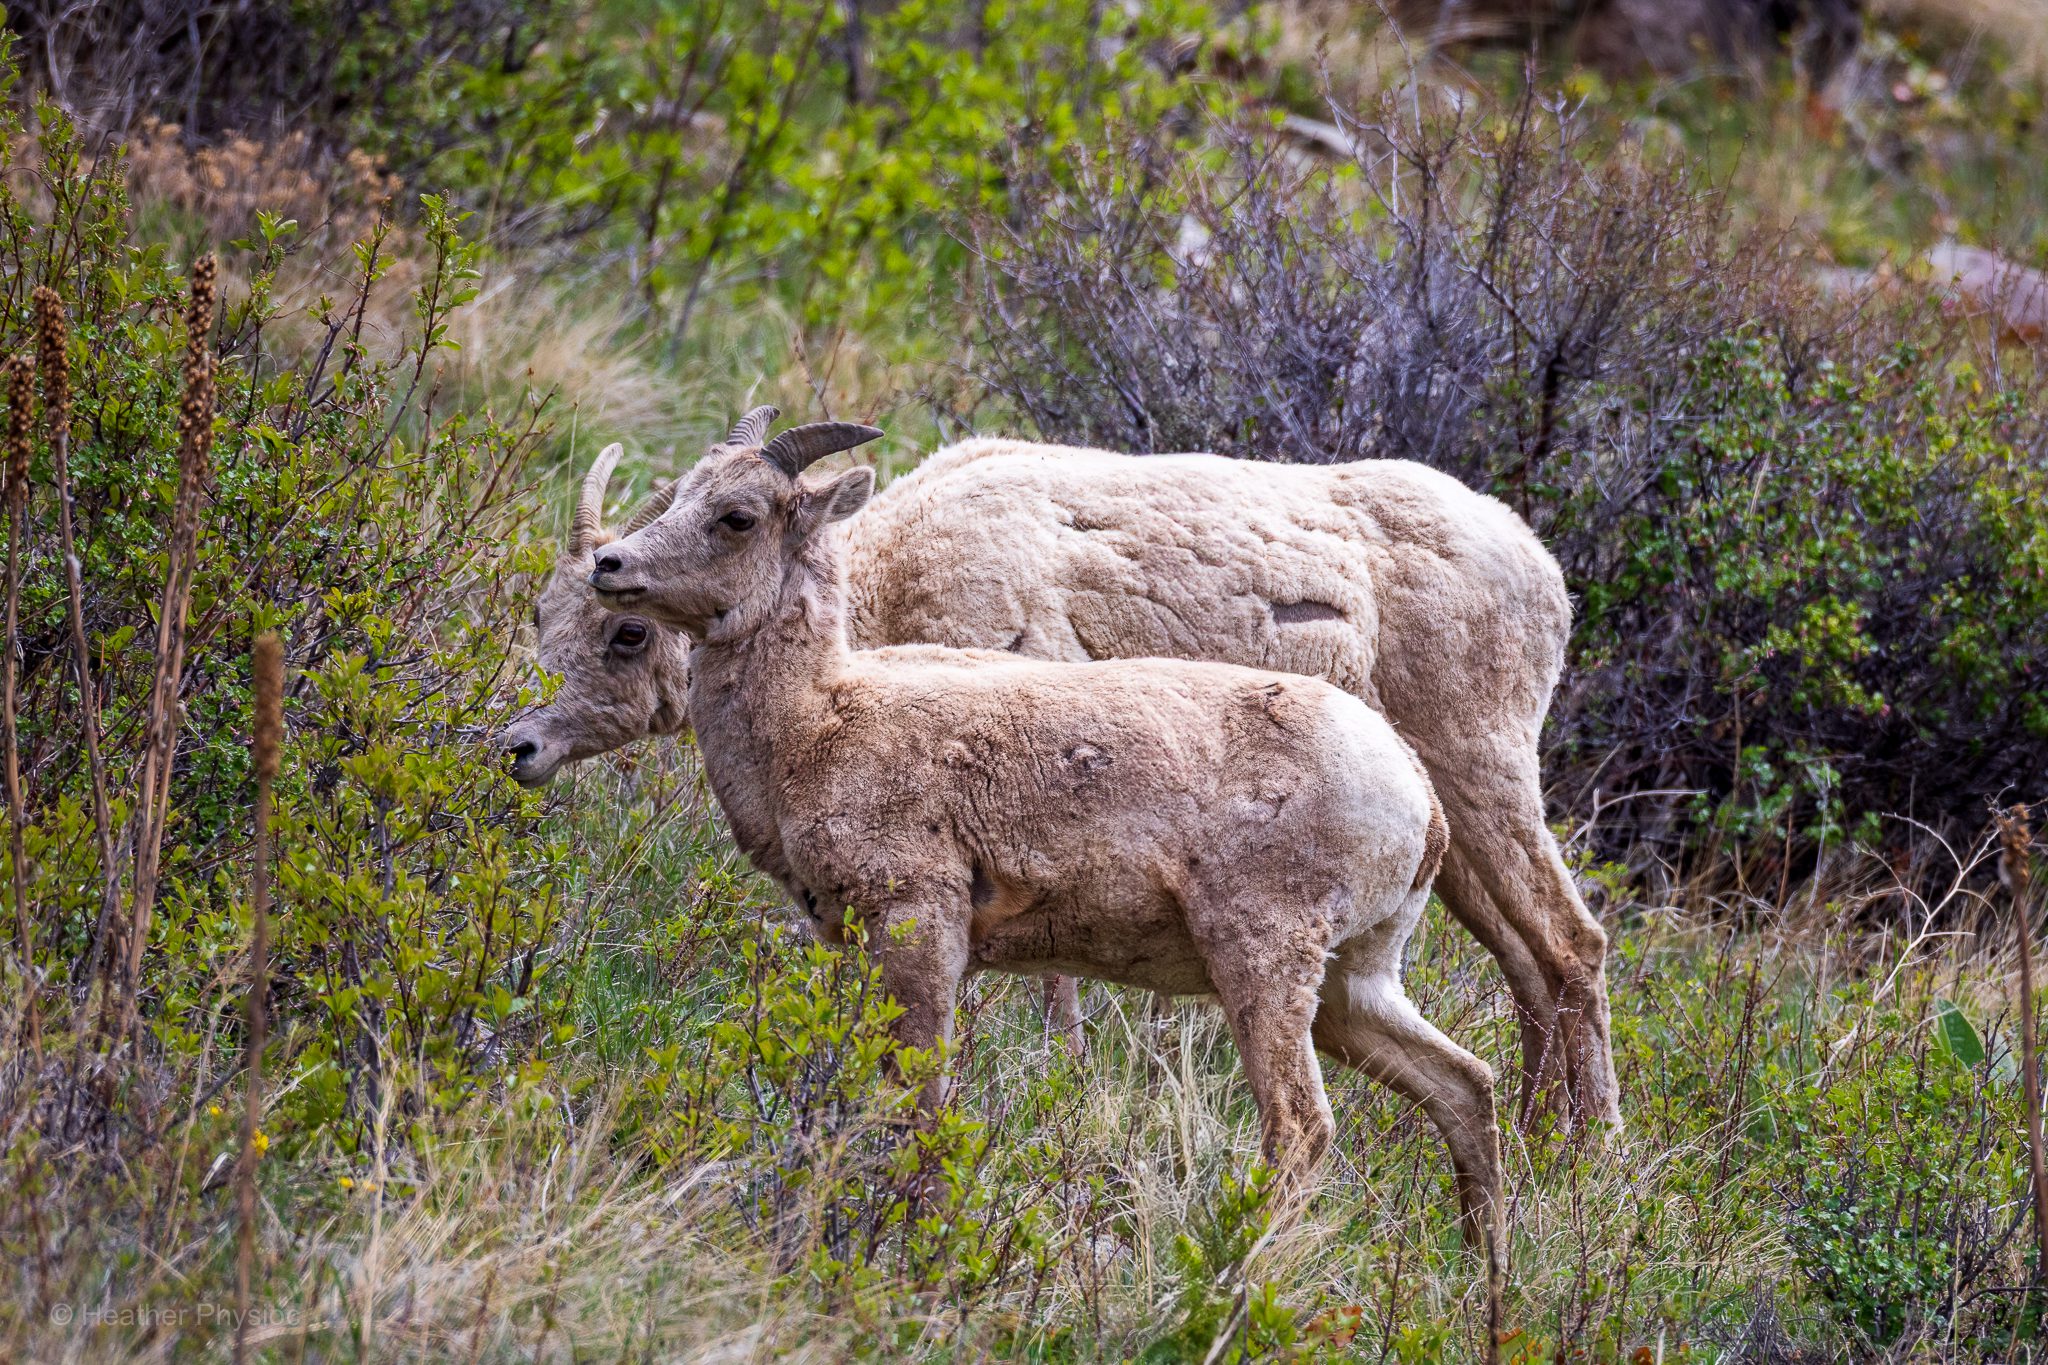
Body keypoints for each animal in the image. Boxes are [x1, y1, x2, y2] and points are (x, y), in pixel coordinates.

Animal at [499, 413, 1616, 1135]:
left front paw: (1063, 1082)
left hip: (1483, 769)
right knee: (1524, 969)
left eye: (626, 636)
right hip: (1443, 851)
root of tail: (1539, 562)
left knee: (1573, 944)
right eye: (547, 613)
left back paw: (1589, 1156)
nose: (518, 747)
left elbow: (1047, 988)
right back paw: (1536, 1141)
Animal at [583, 417, 1507, 1316]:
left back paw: (1228, 1287)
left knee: (1303, 1127)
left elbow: (923, 1108)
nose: (609, 565)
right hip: (1354, 985)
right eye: (683, 491)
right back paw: (1482, 1291)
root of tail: (1419, 799)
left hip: (1266, 963)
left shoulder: (920, 928)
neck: (816, 723)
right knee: (1465, 1084)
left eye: (737, 515)